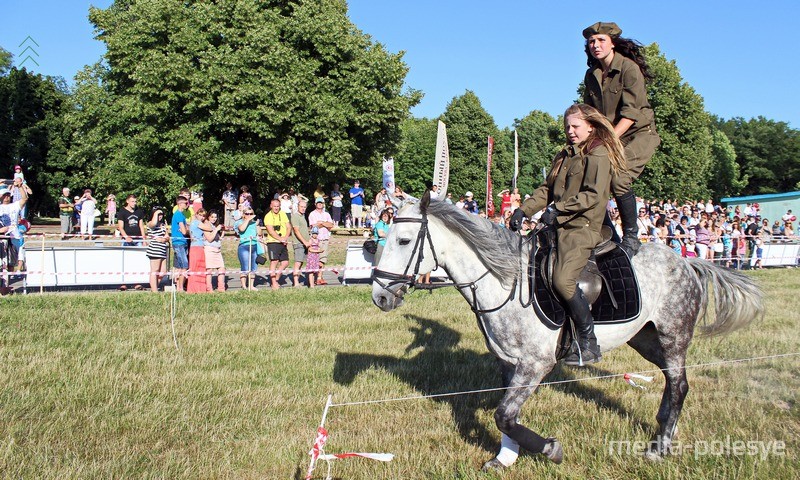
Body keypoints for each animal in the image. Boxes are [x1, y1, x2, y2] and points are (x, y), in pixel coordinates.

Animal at [372, 191, 764, 468]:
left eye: (404, 241)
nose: (380, 296)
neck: (504, 282)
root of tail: (686, 262)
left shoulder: (536, 363)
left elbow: (504, 415)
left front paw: (550, 449)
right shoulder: (509, 362)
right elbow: (507, 417)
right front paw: (505, 458)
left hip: (674, 335)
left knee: (680, 384)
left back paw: (659, 447)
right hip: (646, 339)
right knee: (672, 383)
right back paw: (666, 428)